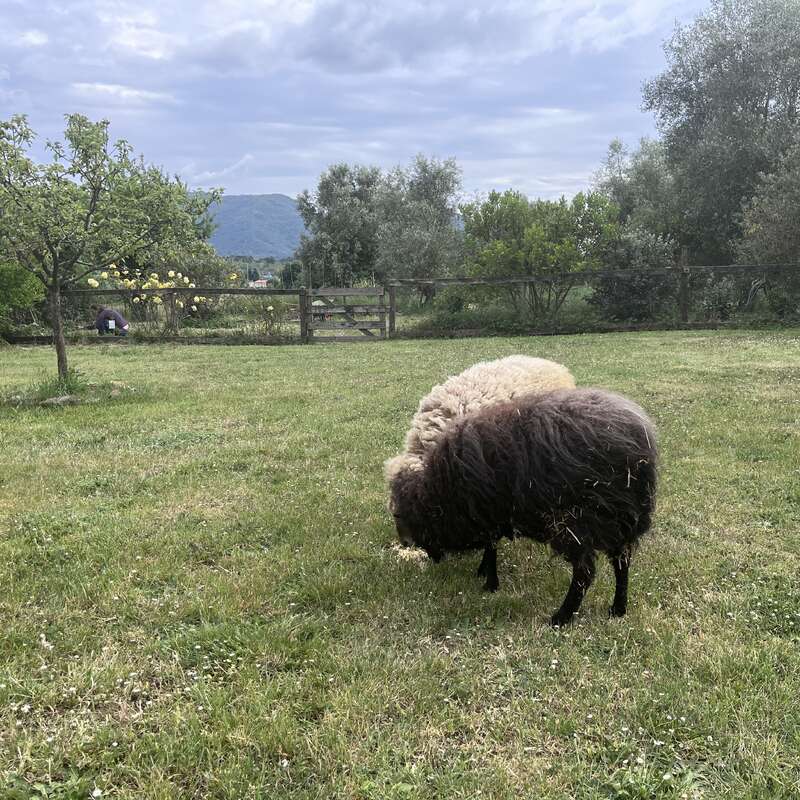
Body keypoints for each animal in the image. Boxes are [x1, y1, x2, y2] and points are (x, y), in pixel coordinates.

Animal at [388, 388, 657, 626]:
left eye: (408, 517)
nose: (407, 543)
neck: (442, 489)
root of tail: (640, 439)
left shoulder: (487, 514)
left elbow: (491, 547)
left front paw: (490, 583)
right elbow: (491, 547)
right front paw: (484, 573)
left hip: (577, 522)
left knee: (584, 574)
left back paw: (561, 617)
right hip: (621, 519)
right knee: (622, 563)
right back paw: (618, 609)